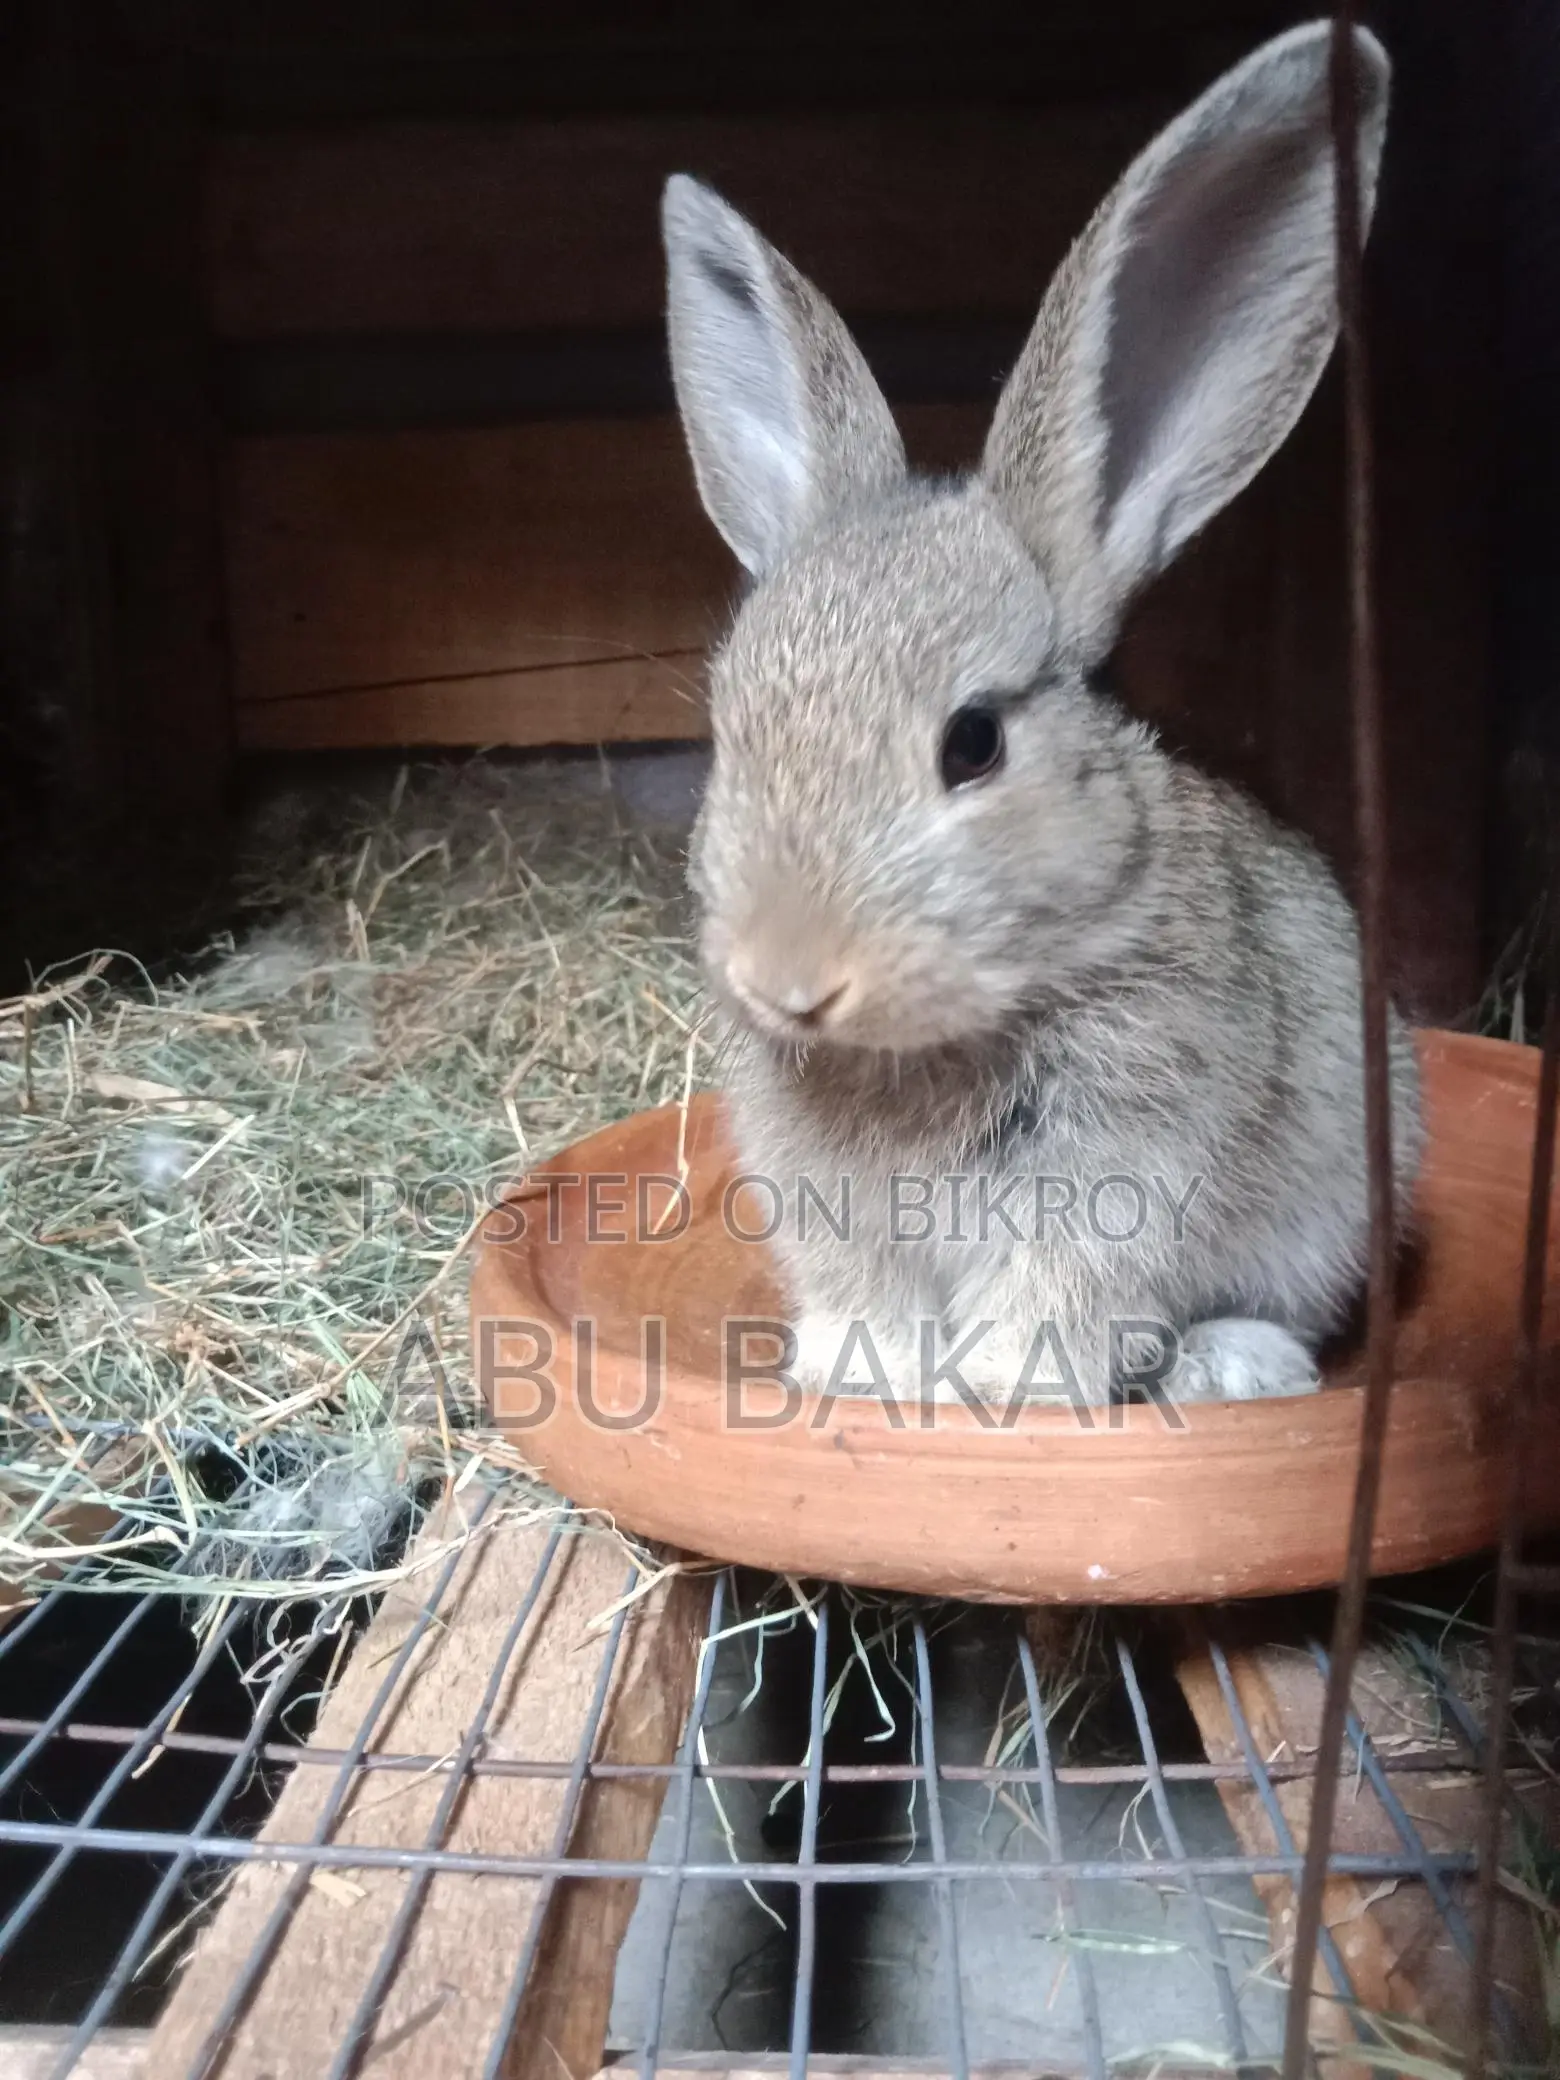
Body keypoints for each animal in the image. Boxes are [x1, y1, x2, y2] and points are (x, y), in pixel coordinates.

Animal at [661, 20, 1423, 1408]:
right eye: (730, 730)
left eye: (974, 742)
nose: (788, 979)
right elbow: (865, 1288)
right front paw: (862, 1371)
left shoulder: (1122, 1158)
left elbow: (1065, 1284)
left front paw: (1010, 1384)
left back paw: (1233, 1369)